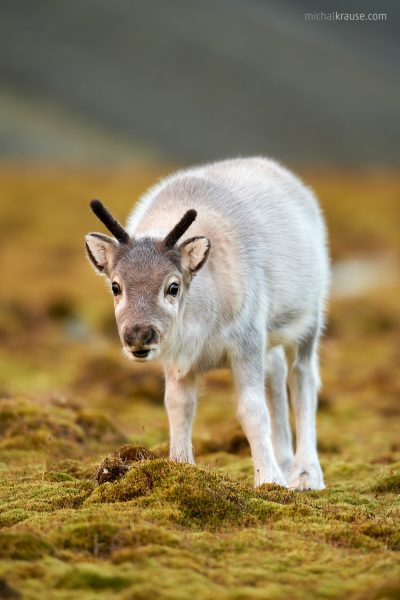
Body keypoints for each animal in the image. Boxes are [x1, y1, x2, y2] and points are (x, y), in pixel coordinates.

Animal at [86, 157, 330, 490]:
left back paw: (305, 474)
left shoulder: (247, 343)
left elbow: (252, 410)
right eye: (115, 286)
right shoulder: (177, 358)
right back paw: (285, 462)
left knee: (303, 380)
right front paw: (180, 467)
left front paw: (269, 480)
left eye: (173, 286)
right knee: (277, 376)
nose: (138, 336)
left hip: (308, 322)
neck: (201, 319)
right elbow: (178, 406)